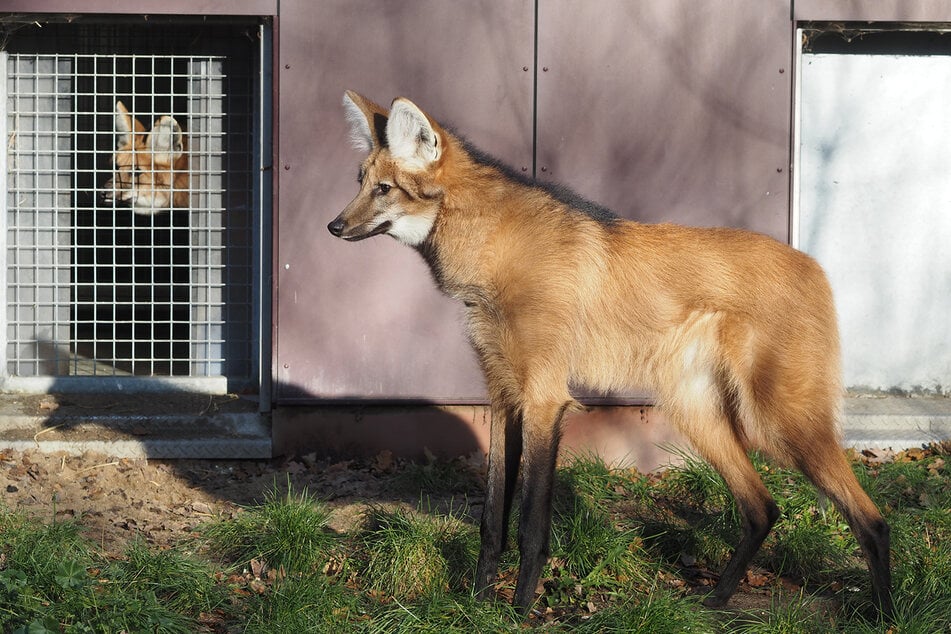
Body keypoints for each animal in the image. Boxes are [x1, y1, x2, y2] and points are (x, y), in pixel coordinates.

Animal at [326, 91, 892, 616]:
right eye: (358, 181)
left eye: (384, 189)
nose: (333, 227)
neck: (491, 254)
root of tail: (815, 266)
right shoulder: (504, 398)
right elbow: (492, 521)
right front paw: (479, 602)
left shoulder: (545, 399)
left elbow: (530, 524)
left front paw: (519, 612)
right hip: (697, 412)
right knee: (763, 507)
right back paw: (715, 600)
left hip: (780, 419)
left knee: (873, 520)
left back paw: (884, 615)